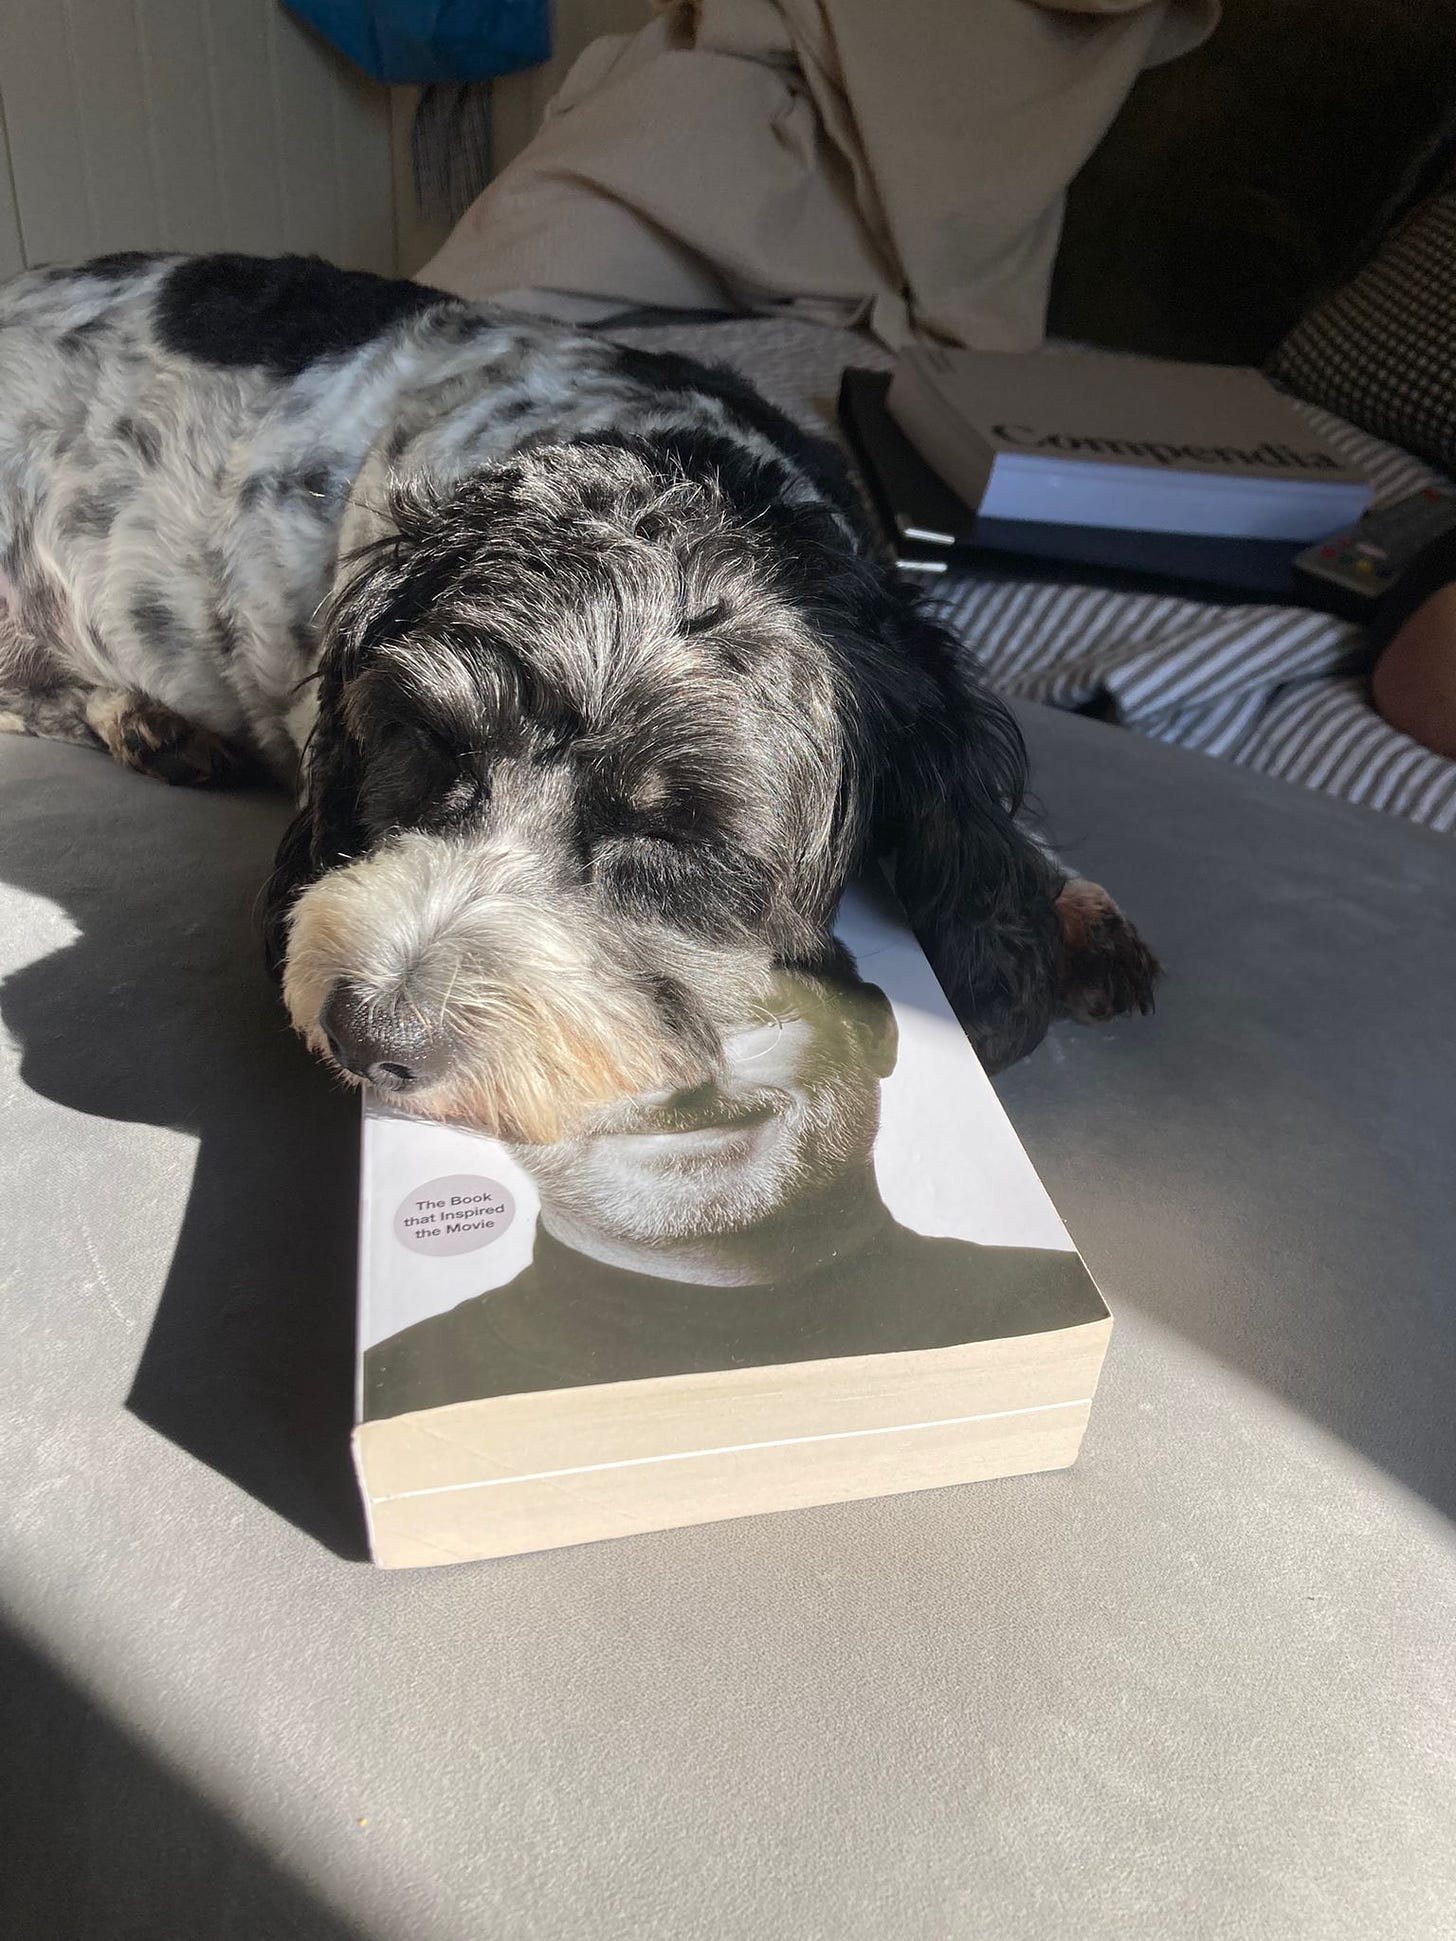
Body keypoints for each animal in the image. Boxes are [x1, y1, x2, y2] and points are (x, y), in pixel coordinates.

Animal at [2, 254, 1164, 1133]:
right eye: (426, 742)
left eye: (674, 838)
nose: (367, 1035)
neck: (686, 461)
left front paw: (1064, 899)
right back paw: (143, 719)